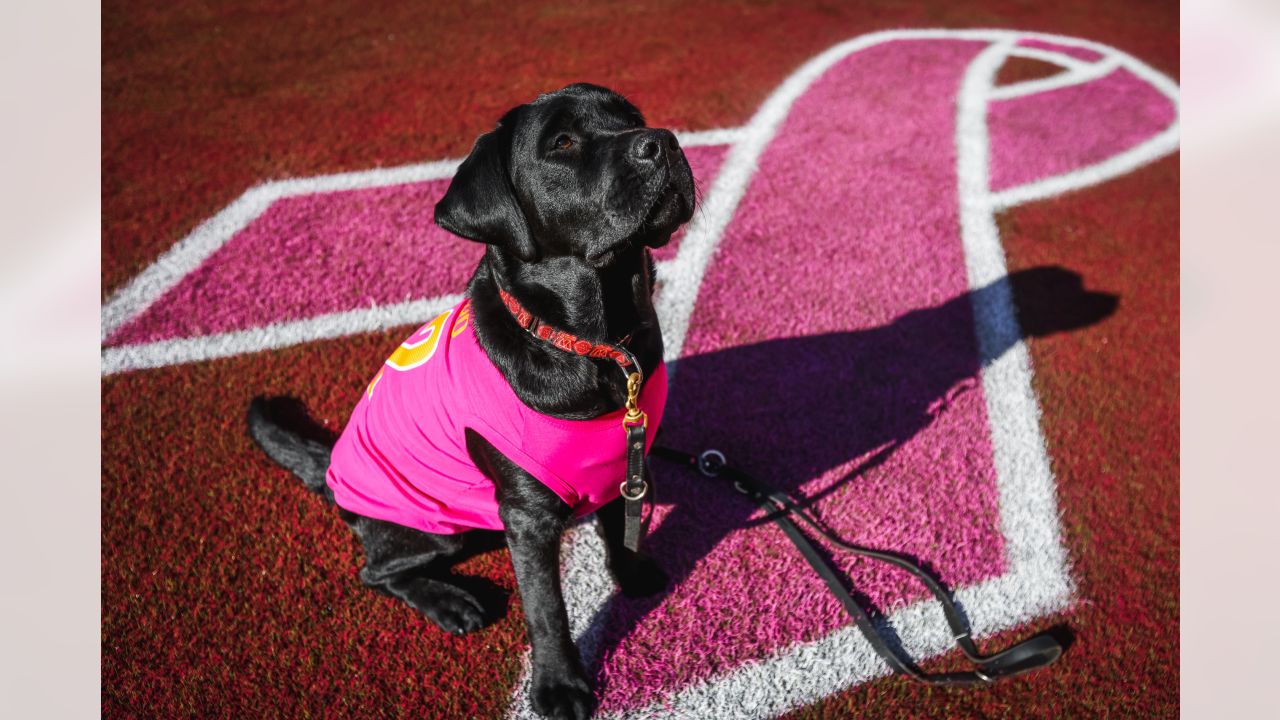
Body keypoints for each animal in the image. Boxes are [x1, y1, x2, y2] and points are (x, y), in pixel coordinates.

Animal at [244, 85, 696, 717]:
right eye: (561, 142)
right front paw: (558, 685)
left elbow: (618, 529)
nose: (664, 141)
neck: (597, 342)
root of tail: (331, 469)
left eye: (630, 117)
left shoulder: (620, 465)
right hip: (433, 524)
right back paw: (451, 601)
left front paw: (630, 574)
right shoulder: (527, 517)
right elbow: (547, 608)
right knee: (373, 571)